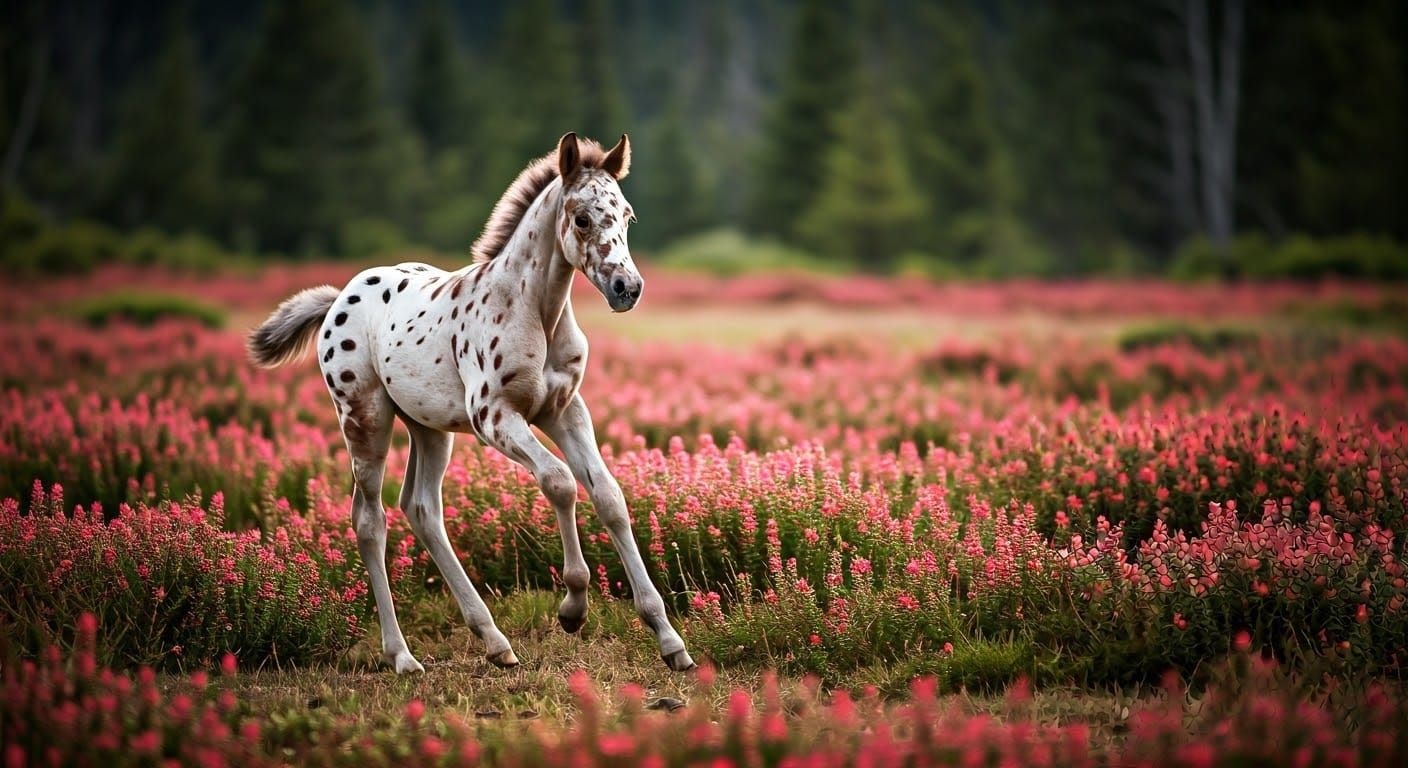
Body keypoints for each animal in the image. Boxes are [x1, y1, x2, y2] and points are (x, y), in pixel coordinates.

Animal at [248, 132, 695, 674]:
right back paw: (402, 656)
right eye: (582, 218)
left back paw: (495, 641)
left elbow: (608, 496)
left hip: (428, 428)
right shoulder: (494, 417)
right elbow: (560, 482)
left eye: (627, 215)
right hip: (365, 420)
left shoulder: (565, 410)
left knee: (421, 508)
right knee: (370, 521)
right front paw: (573, 607)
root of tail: (337, 299)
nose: (626, 288)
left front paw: (669, 639)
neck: (535, 312)